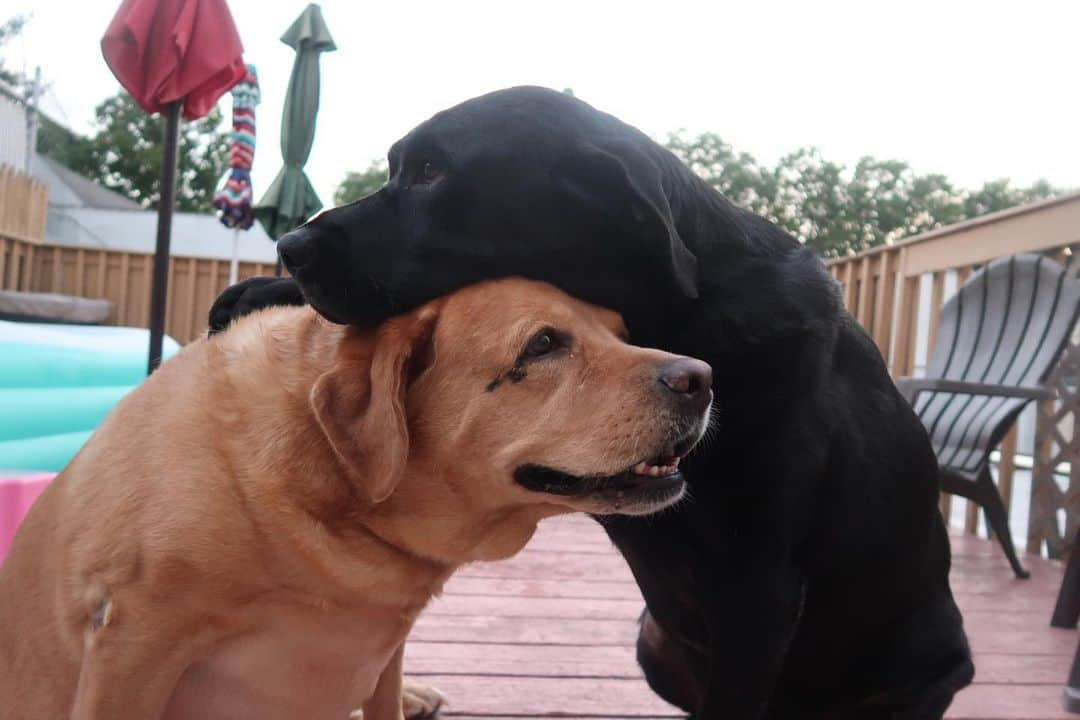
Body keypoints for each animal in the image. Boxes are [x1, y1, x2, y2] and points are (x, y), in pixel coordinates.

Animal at [0, 278, 712, 720]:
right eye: (543, 343)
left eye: (620, 330)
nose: (702, 377)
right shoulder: (134, 640)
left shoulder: (387, 642)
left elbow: (383, 699)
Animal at [208, 87, 972, 716]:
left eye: (430, 171)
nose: (290, 245)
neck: (679, 315)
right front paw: (254, 292)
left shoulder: (760, 584)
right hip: (654, 646)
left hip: (926, 656)